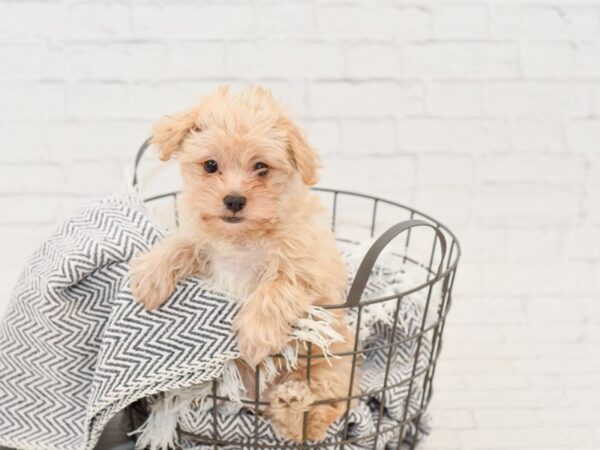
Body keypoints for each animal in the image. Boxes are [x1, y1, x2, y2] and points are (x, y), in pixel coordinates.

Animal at [130, 86, 356, 442]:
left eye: (261, 167)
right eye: (210, 165)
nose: (234, 200)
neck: (242, 237)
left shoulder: (310, 266)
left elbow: (278, 285)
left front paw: (256, 333)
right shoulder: (204, 242)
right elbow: (183, 243)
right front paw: (150, 276)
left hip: (331, 367)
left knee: (315, 418)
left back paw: (293, 401)